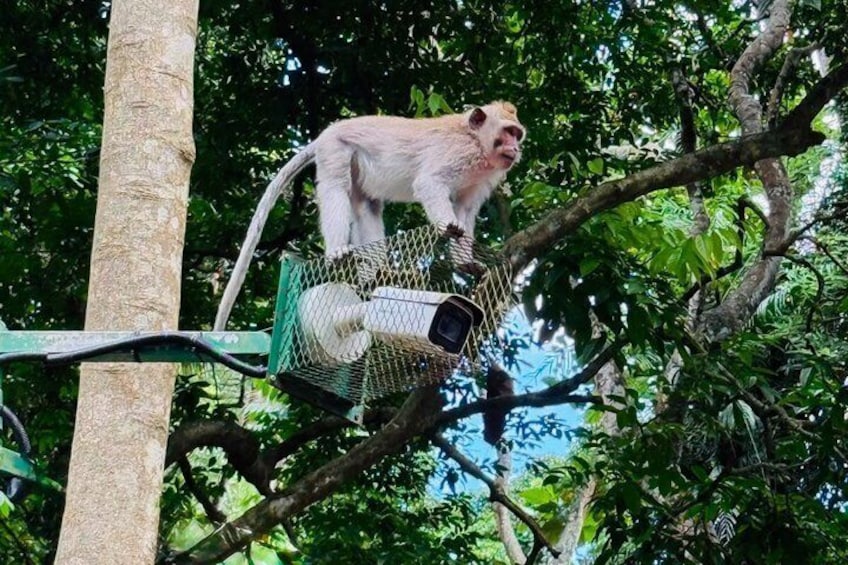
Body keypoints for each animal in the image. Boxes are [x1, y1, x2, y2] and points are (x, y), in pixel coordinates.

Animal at [214, 102, 525, 331]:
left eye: (517, 134)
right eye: (508, 132)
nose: (516, 148)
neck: (476, 142)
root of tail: (327, 132)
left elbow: (466, 210)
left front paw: (465, 263)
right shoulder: (457, 153)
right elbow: (429, 184)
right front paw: (448, 226)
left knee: (367, 206)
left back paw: (375, 270)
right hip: (336, 148)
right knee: (335, 188)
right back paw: (338, 251)